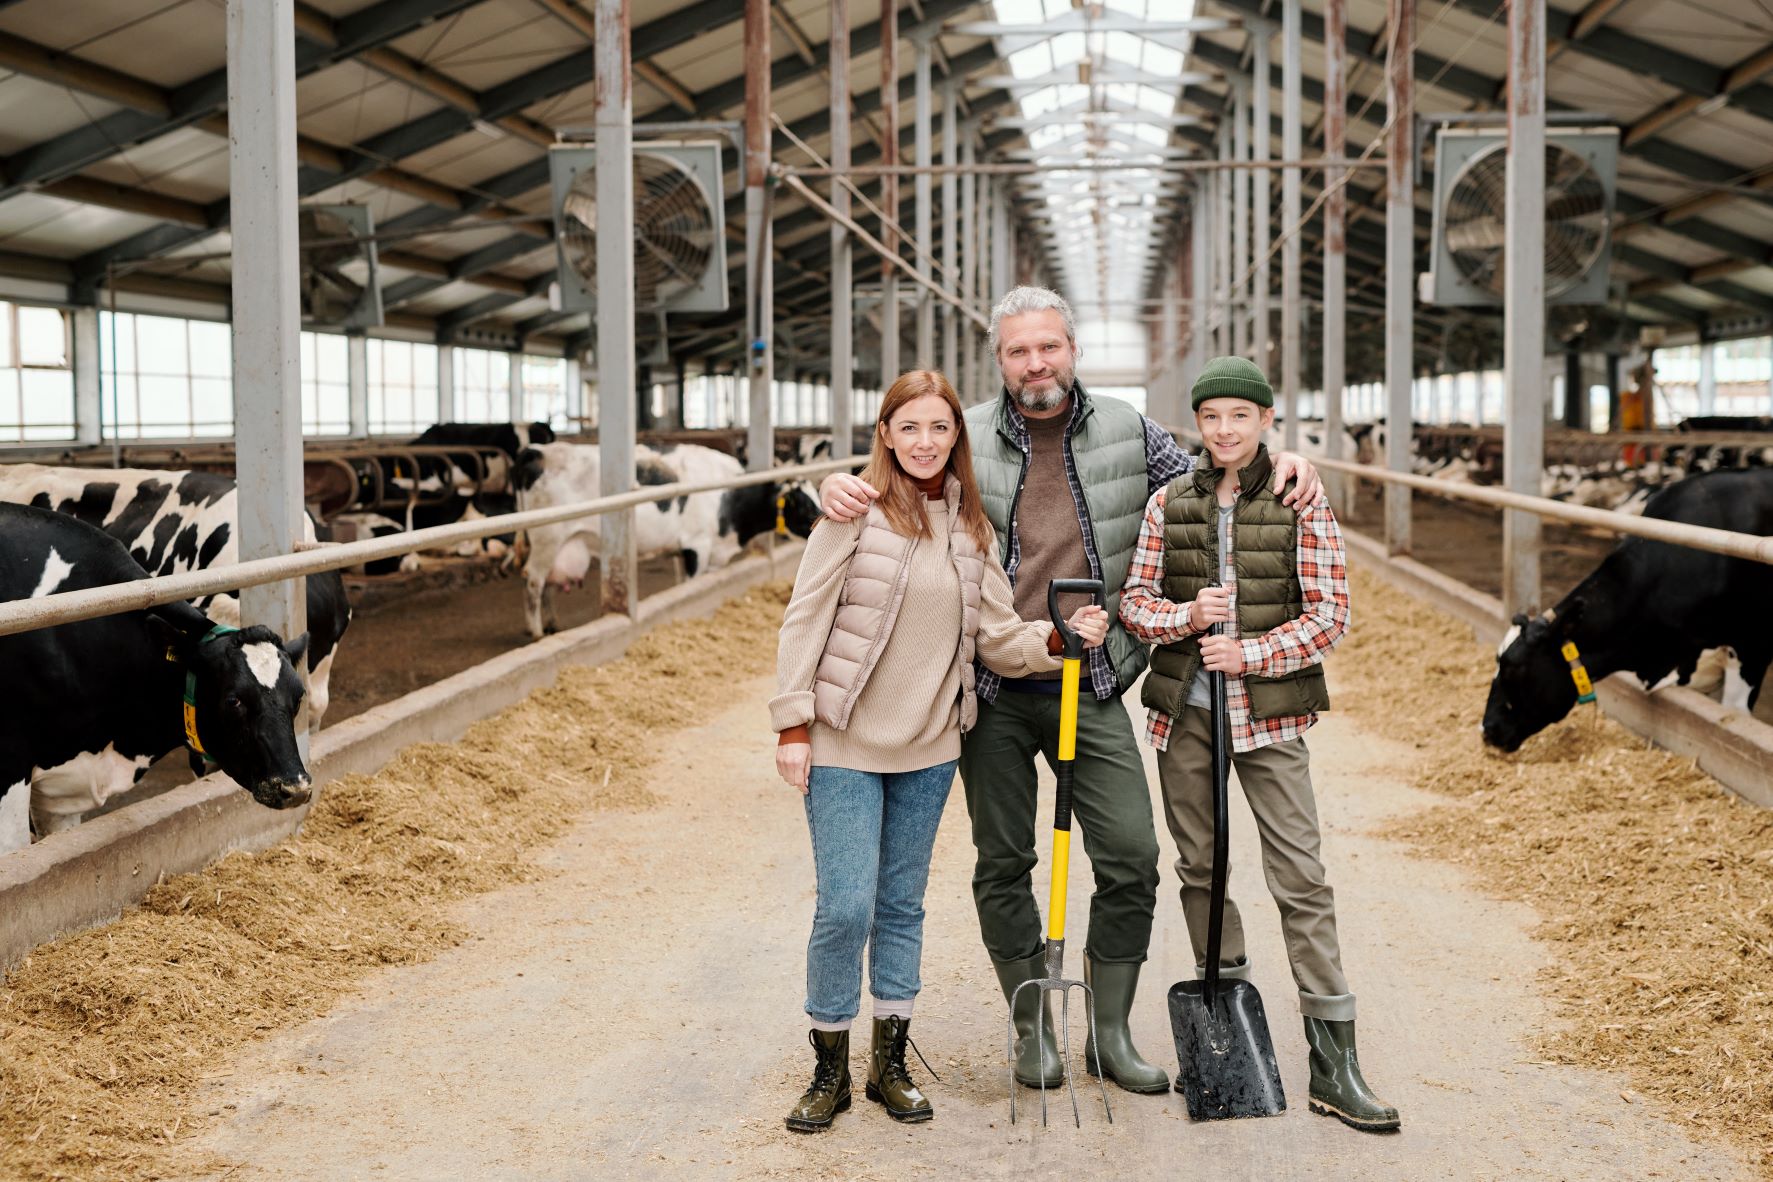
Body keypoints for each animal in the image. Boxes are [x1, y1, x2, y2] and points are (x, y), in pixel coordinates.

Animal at [514, 439, 815, 637]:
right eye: (804, 505)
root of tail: (537, 450)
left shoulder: (691, 551)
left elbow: (684, 587)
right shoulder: (697, 547)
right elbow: (694, 586)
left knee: (547, 584)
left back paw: (553, 624)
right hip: (547, 538)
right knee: (534, 581)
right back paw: (536, 632)